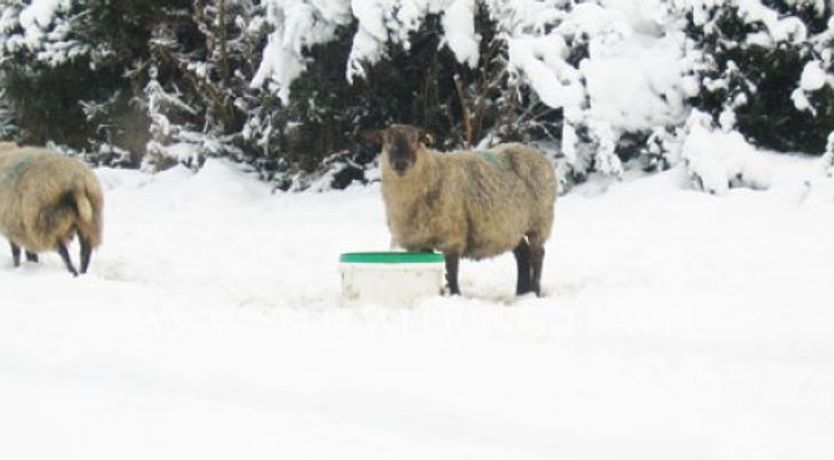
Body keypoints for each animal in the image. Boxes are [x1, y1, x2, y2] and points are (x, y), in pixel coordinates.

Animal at [0, 146, 103, 274]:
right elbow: (29, 253)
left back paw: (73, 272)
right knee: (85, 251)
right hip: (89, 221)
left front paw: (18, 267)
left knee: (64, 253)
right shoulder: (24, 231)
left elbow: (17, 252)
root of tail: (77, 180)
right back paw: (82, 273)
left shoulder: (13, 227)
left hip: (46, 222)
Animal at [368, 124, 556, 296]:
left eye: (416, 140)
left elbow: (451, 271)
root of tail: (533, 151)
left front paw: (455, 294)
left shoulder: (452, 235)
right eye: (387, 141)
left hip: (540, 222)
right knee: (522, 254)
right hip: (511, 227)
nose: (401, 163)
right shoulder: (421, 241)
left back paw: (534, 291)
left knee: (538, 255)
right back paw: (521, 292)